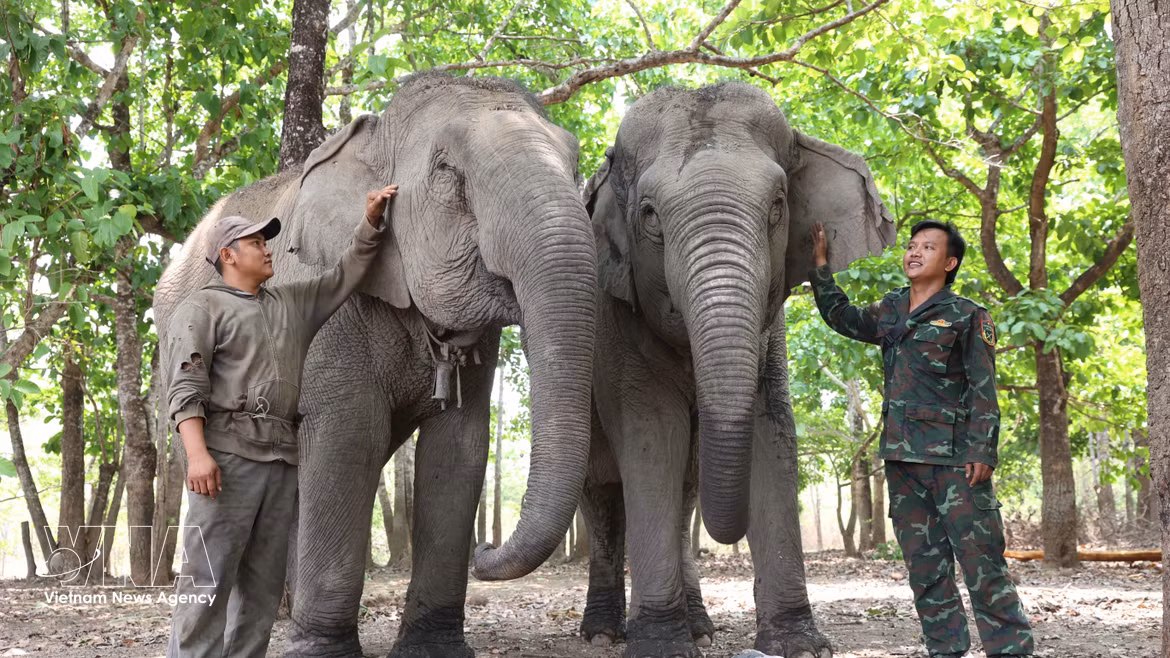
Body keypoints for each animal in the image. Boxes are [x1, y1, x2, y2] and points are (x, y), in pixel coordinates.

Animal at [154, 72, 598, 658]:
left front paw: (433, 649)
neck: (373, 140)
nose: (486, 547)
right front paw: (324, 652)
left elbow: (459, 446)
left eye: (577, 166)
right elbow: (349, 438)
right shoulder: (327, 313)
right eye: (446, 171)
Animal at [578, 81, 896, 658]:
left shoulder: (772, 338)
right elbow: (651, 435)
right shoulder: (612, 322)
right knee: (602, 494)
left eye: (778, 205)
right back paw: (603, 632)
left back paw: (700, 626)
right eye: (650, 215)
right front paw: (661, 647)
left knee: (686, 495)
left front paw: (800, 644)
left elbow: (773, 431)